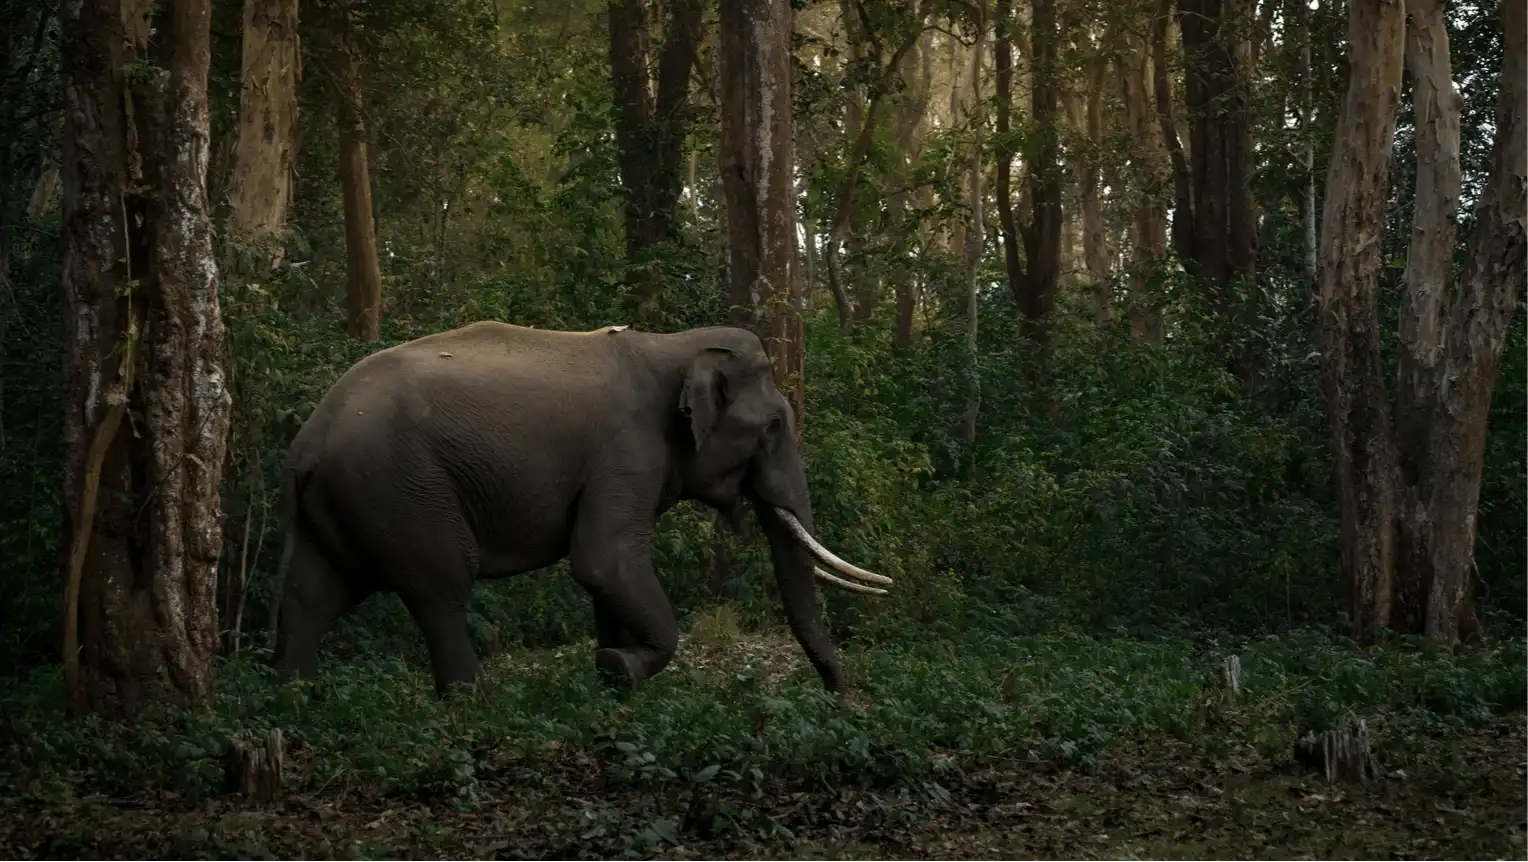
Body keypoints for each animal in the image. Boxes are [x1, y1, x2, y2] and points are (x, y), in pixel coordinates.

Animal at [267, 320, 892, 697]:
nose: (841, 695)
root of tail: (306, 445)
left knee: (311, 594)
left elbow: (603, 577)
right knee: (440, 588)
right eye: (775, 425)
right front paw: (619, 667)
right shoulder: (627, 452)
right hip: (402, 490)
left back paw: (296, 700)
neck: (672, 344)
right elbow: (604, 560)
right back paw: (475, 705)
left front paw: (612, 674)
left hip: (342, 504)